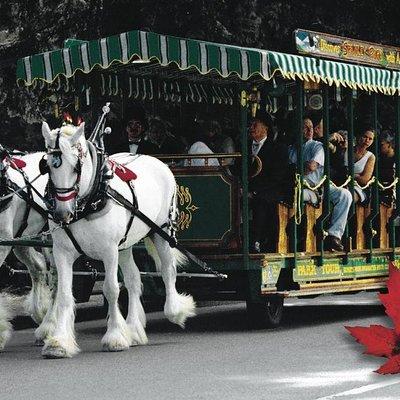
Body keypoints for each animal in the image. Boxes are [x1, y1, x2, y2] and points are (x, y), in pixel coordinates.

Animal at [41, 122, 196, 360]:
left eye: (76, 167)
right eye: (48, 166)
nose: (62, 213)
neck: (89, 199)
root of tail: (154, 160)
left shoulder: (109, 251)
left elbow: (111, 289)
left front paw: (114, 336)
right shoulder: (62, 252)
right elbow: (65, 294)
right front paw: (59, 342)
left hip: (161, 232)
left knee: (168, 270)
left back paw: (175, 311)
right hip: (125, 245)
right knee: (133, 279)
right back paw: (133, 329)